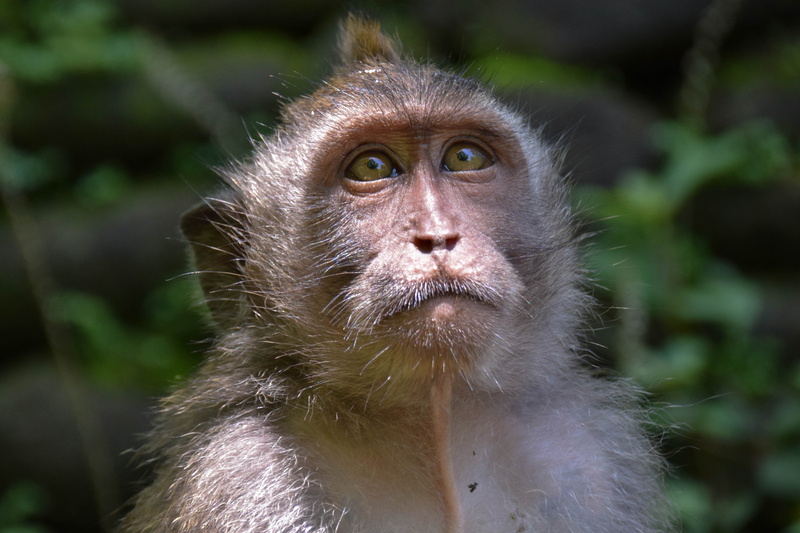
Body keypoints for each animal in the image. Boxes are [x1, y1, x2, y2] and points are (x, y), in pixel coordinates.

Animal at [119, 15, 671, 533]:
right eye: (372, 167)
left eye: (464, 157)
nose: (437, 235)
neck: (439, 428)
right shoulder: (242, 478)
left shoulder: (593, 461)